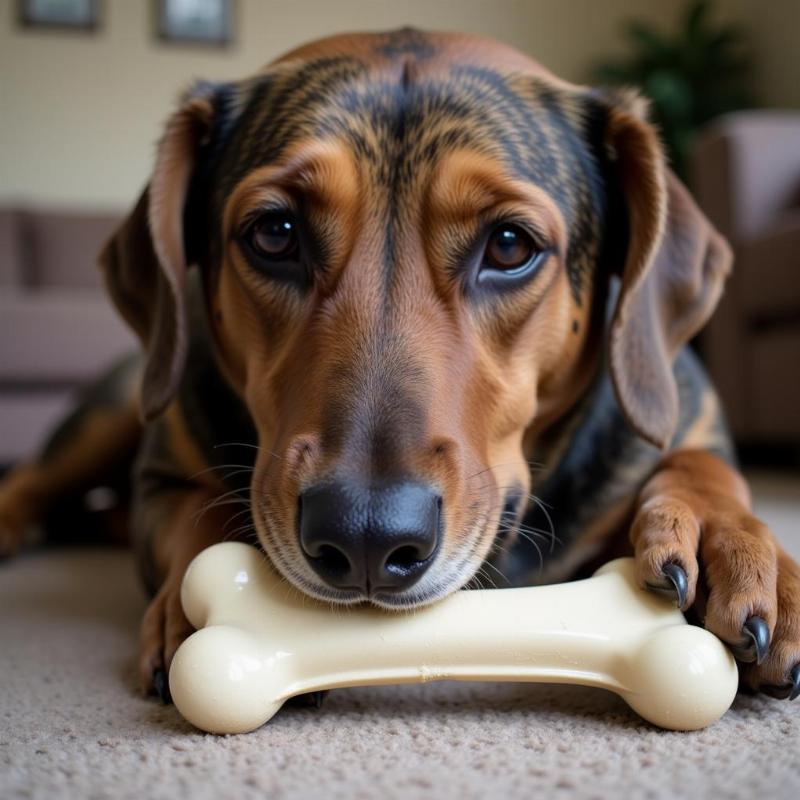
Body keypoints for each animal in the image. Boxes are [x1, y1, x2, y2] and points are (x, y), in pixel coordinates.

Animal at [0, 29, 796, 708]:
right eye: (275, 232)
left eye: (510, 245)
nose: (365, 537)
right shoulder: (161, 477)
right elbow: (199, 511)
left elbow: (705, 466)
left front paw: (729, 541)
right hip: (115, 406)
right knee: (37, 478)